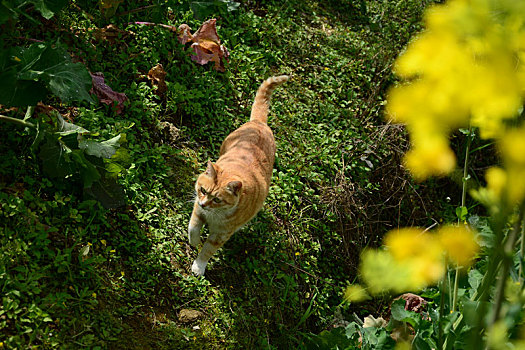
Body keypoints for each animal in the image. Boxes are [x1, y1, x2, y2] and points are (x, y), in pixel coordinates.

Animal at [187, 75, 288, 274]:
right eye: (203, 190)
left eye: (217, 199)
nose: (204, 204)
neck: (215, 215)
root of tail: (260, 123)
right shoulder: (197, 209)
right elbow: (193, 228)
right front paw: (193, 242)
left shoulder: (221, 234)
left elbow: (207, 251)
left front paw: (199, 267)